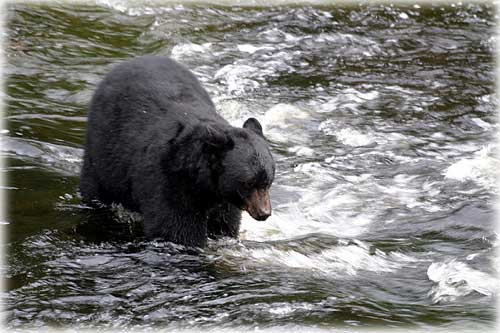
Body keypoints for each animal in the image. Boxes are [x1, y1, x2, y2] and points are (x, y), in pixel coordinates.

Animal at [82, 55, 278, 246]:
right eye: (248, 183)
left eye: (267, 182)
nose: (264, 213)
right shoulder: (169, 180)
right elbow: (176, 229)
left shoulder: (225, 201)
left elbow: (224, 225)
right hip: (102, 151)